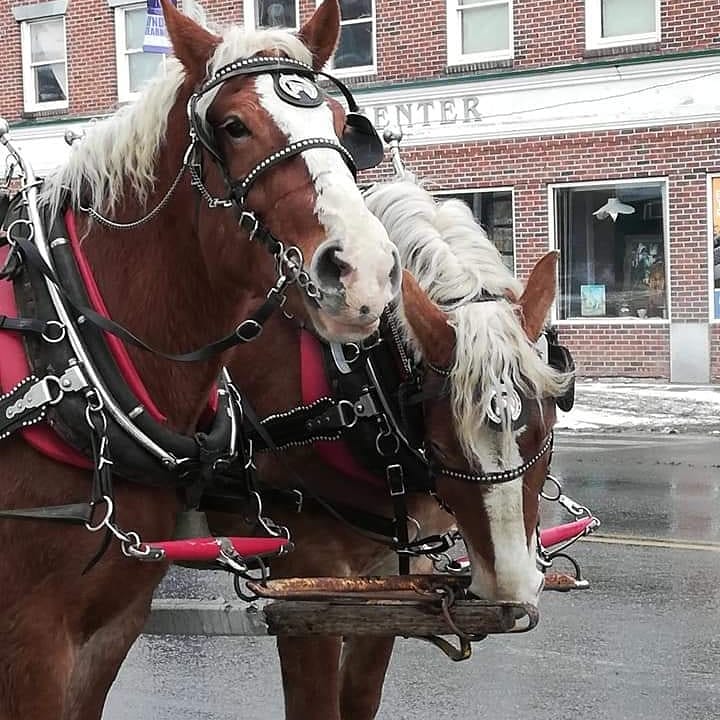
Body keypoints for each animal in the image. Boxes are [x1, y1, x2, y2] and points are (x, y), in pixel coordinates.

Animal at [210, 179, 572, 720]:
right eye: (441, 446)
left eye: (545, 432)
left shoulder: (392, 579)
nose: (510, 587)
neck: (358, 385)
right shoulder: (303, 587)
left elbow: (360, 696)